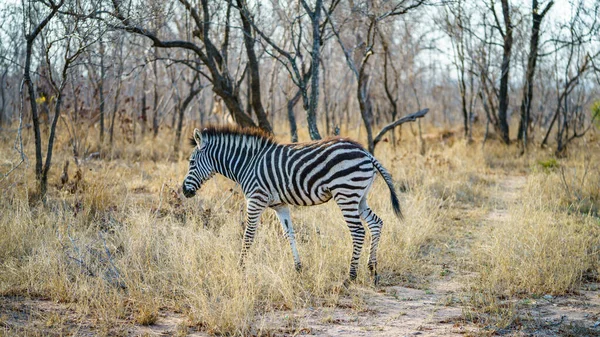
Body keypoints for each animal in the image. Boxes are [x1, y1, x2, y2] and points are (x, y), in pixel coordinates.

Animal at [180, 126, 400, 284]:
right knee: (376, 223)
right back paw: (372, 271)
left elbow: (248, 236)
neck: (247, 164)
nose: (184, 191)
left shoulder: (256, 200)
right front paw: (298, 268)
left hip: (346, 193)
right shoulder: (280, 205)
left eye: (191, 162)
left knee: (358, 231)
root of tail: (366, 153)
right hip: (359, 197)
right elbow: (289, 235)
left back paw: (351, 276)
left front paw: (240, 268)